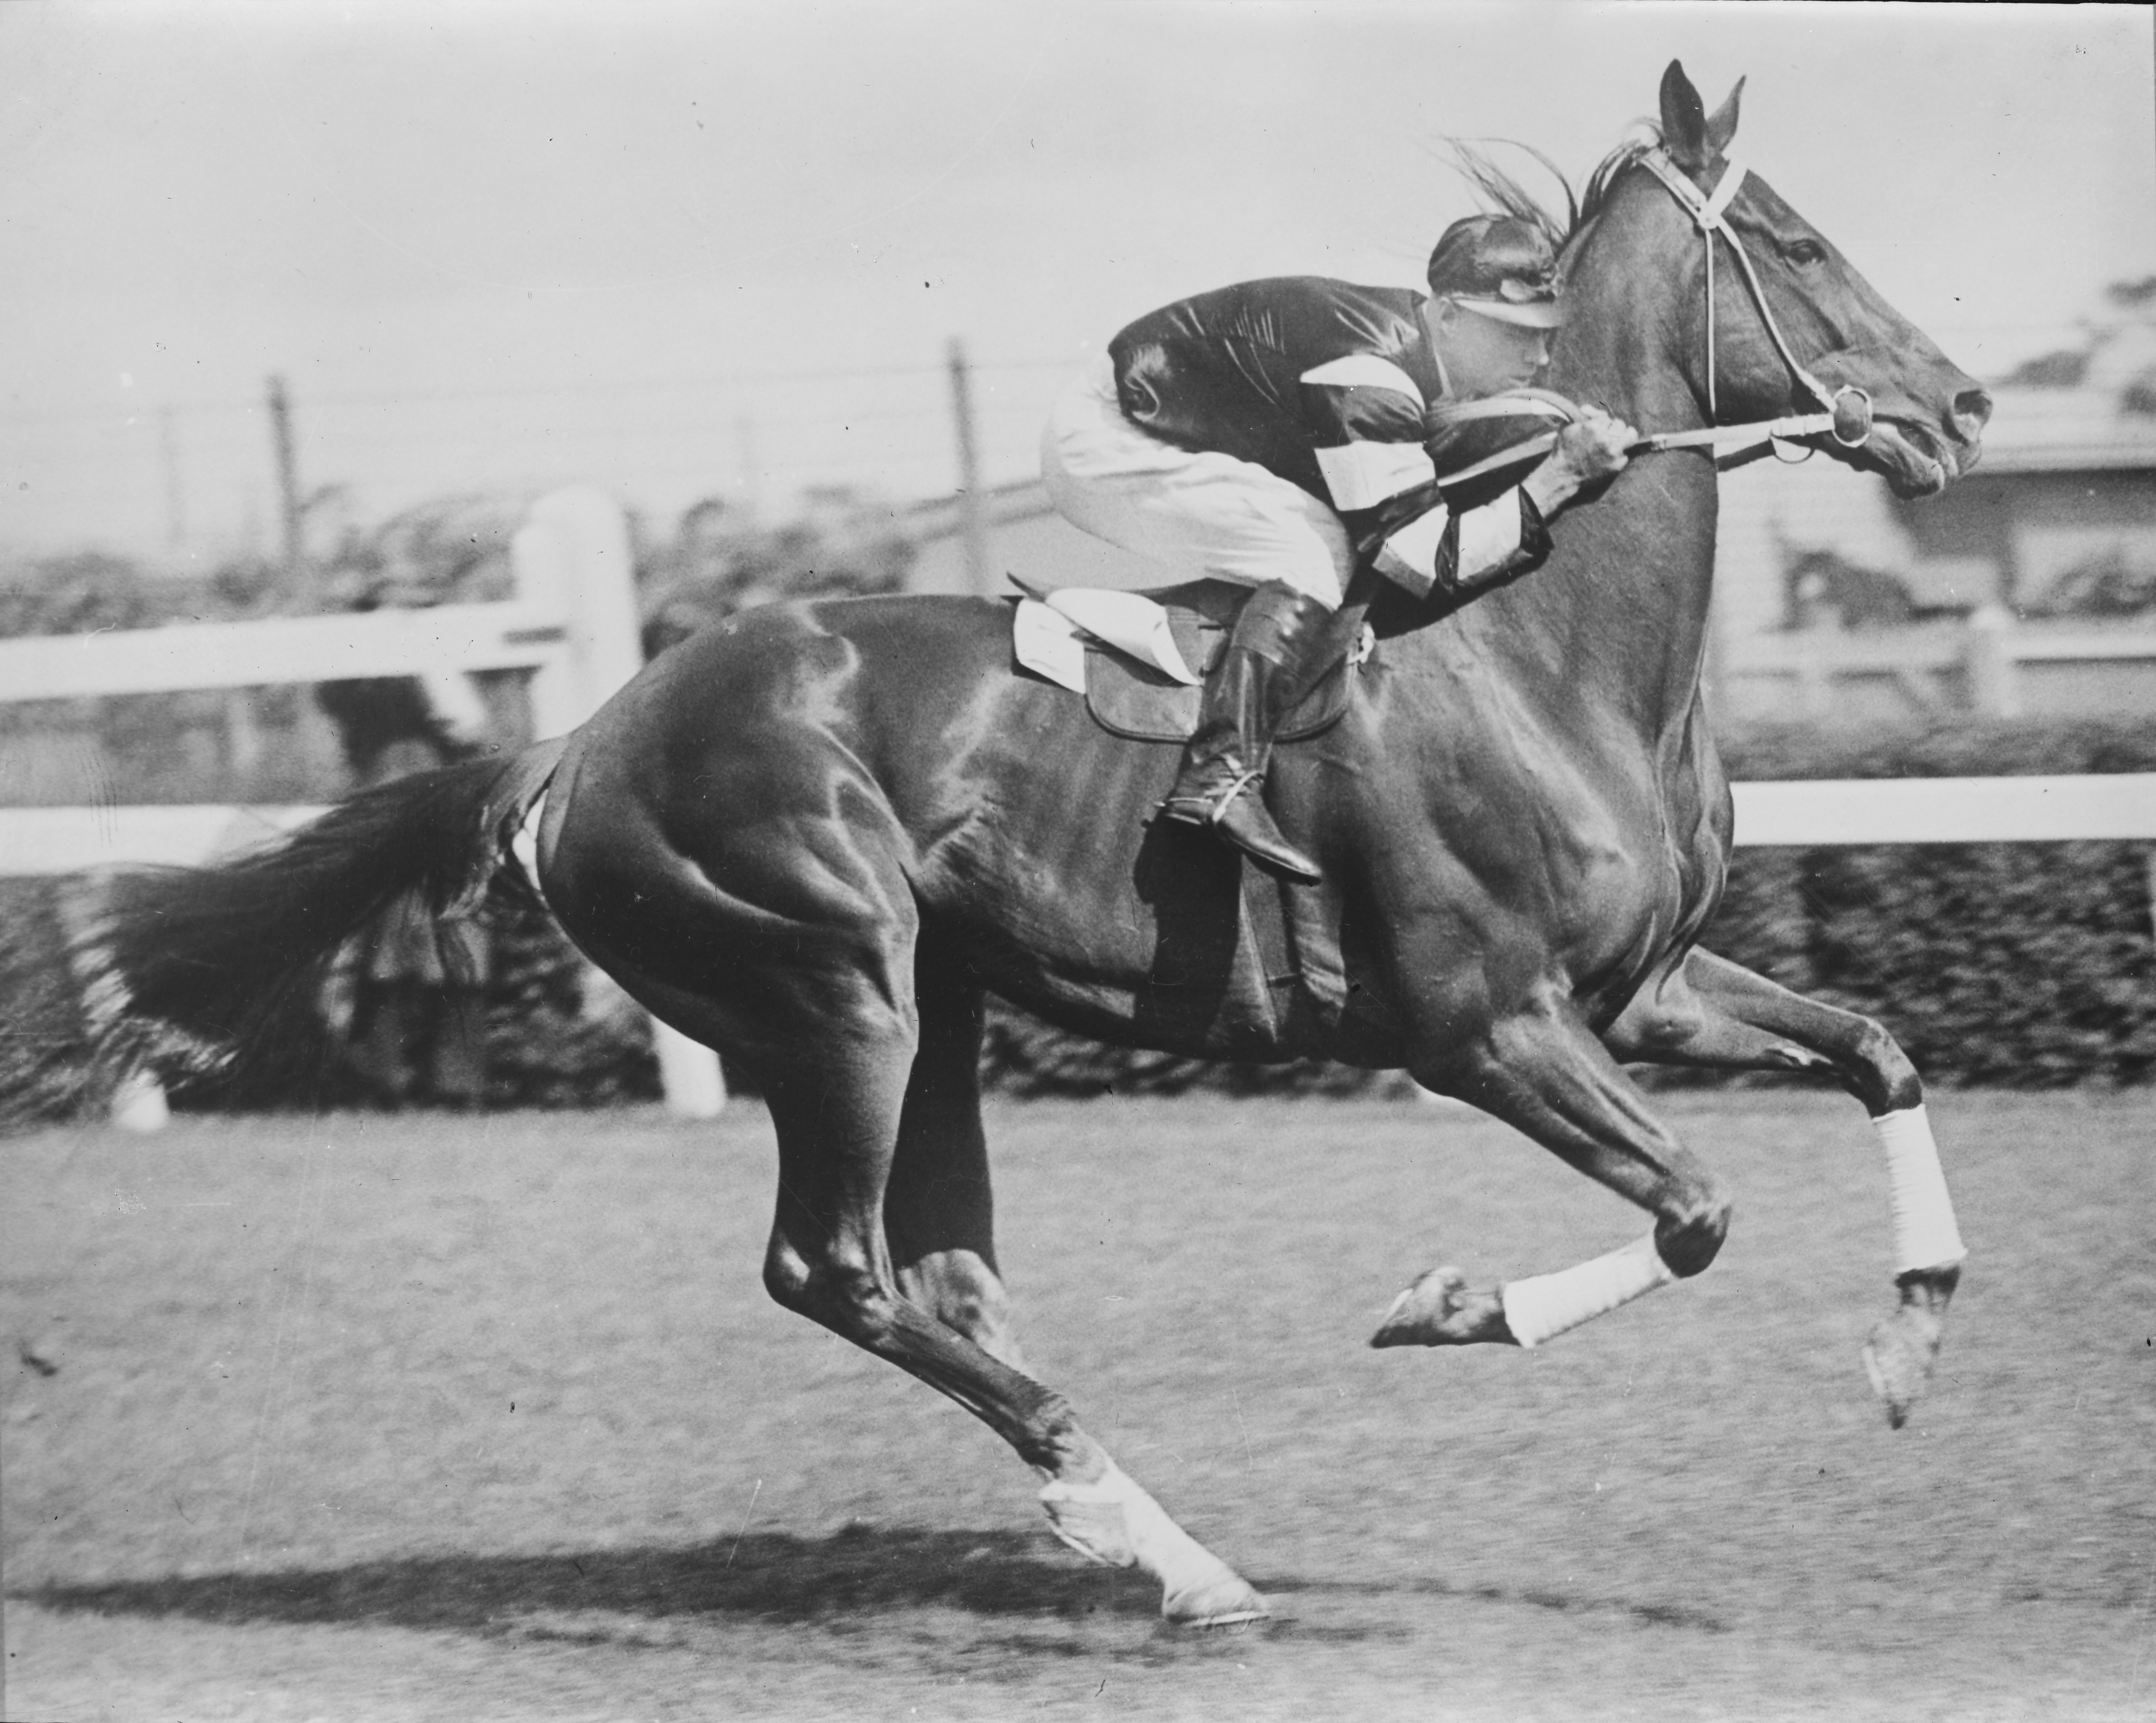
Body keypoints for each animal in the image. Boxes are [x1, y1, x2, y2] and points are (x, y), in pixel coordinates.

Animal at [67, 70, 1983, 1630]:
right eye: (1797, 241)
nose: (1960, 405)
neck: (1545, 648)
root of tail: (573, 744)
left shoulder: (1641, 987)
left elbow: (1878, 1049)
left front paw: (1908, 1333)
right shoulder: (1480, 1021)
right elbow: (1697, 1212)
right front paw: (1444, 1302)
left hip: (938, 1007)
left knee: (950, 1279)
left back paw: (1143, 1536)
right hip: (831, 990)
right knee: (834, 1269)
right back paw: (1152, 1535)